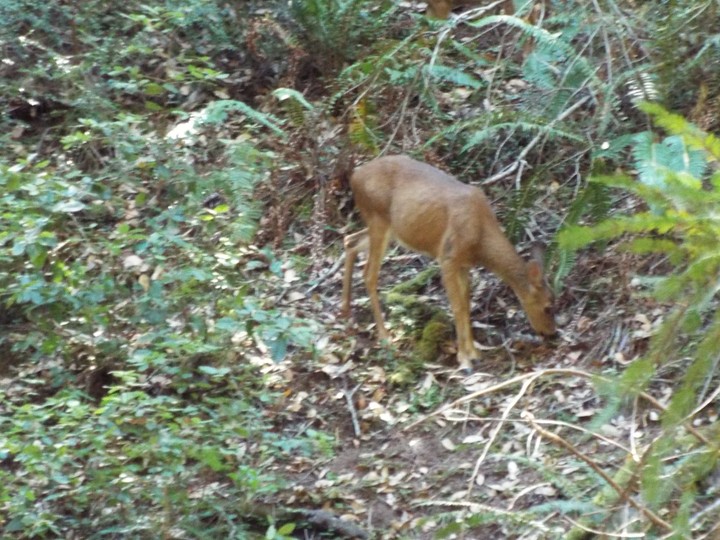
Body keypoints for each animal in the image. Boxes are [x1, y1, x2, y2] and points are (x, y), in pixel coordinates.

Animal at [340, 155, 557, 371]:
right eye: (547, 307)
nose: (552, 333)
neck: (480, 240)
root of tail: (354, 177)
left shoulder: (464, 264)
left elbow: (466, 303)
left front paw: (474, 353)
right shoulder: (448, 257)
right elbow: (457, 306)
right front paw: (464, 359)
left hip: (387, 228)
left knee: (349, 240)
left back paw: (346, 312)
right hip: (378, 218)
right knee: (369, 273)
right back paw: (385, 337)